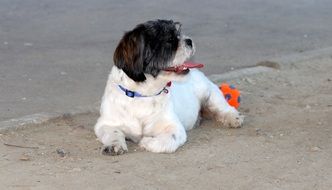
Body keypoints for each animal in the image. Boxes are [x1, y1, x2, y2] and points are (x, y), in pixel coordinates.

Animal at [94, 19, 243, 156]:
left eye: (179, 33)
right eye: (170, 40)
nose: (189, 40)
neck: (142, 95)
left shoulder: (174, 128)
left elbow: (167, 140)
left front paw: (147, 142)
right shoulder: (105, 124)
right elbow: (113, 132)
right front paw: (114, 145)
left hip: (211, 94)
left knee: (224, 108)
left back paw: (233, 118)